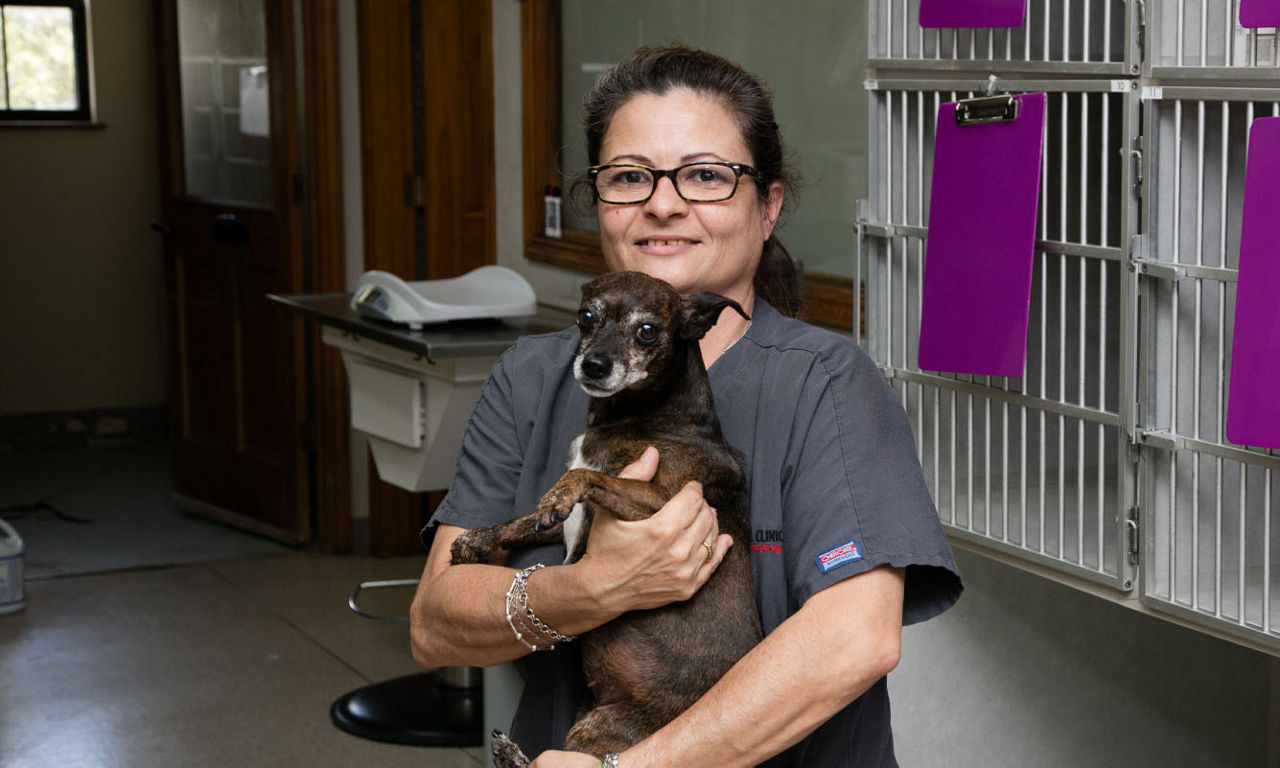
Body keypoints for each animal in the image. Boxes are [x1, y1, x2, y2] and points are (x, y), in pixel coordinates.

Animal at [450, 271, 762, 768]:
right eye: (586, 316)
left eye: (647, 331)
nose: (594, 365)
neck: (645, 415)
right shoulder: (568, 522)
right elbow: (525, 519)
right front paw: (476, 538)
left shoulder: (666, 502)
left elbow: (583, 476)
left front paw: (559, 492)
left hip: (600, 726)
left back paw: (510, 752)